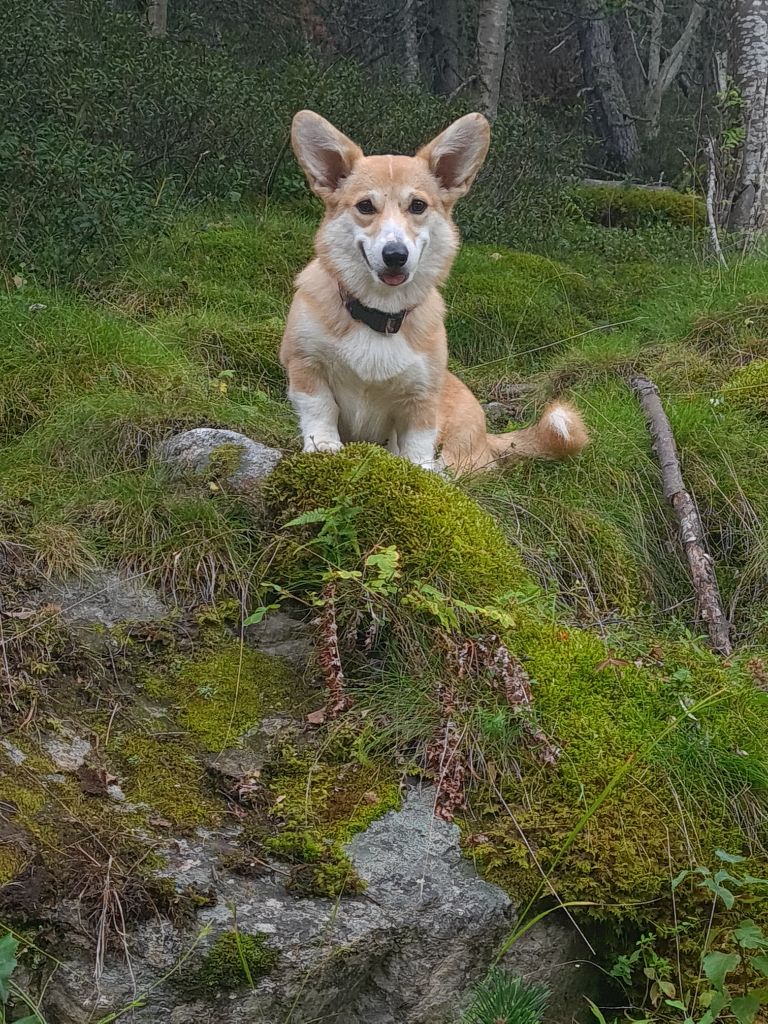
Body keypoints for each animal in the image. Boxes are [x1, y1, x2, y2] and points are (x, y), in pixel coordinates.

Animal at [282, 110, 589, 477]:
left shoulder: (421, 396)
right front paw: (324, 446)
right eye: (365, 206)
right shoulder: (306, 366)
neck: (380, 314)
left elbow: (416, 443)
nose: (395, 255)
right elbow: (320, 410)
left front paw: (418, 470)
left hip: (462, 452)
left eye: (417, 206)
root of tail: (487, 437)